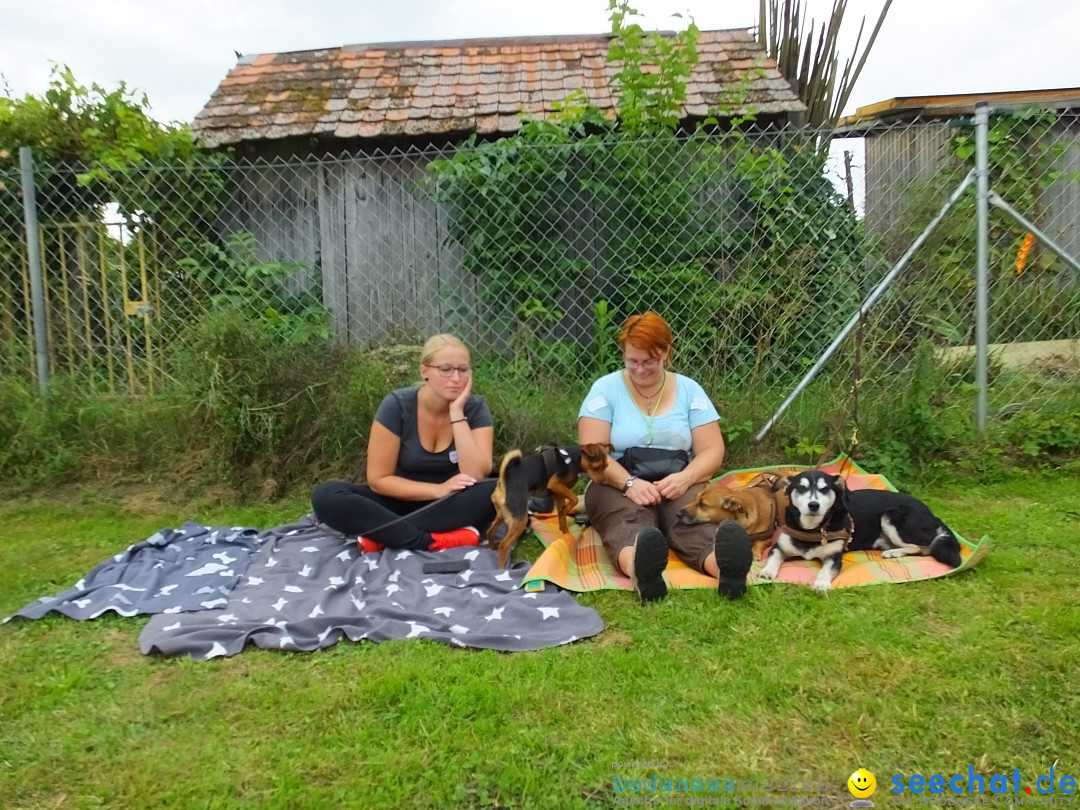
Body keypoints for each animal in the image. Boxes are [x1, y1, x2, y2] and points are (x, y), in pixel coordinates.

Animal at [760, 468, 963, 596]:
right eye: (801, 488)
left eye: (825, 489)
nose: (813, 505)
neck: (813, 529)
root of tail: (932, 514)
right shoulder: (780, 547)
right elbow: (773, 559)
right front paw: (767, 573)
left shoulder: (834, 558)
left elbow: (825, 570)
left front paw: (821, 583)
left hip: (891, 515)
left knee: (924, 547)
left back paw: (894, 552)